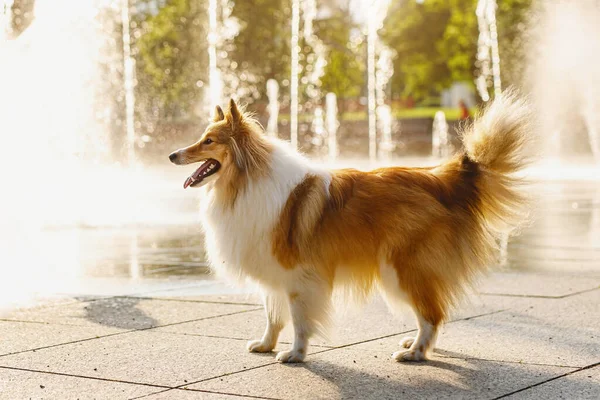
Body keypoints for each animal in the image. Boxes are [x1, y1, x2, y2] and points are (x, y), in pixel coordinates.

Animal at [171, 95, 532, 364]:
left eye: (208, 141)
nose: (173, 154)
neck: (247, 180)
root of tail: (442, 178)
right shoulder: (273, 269)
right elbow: (273, 315)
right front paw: (265, 345)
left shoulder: (300, 275)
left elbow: (299, 319)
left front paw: (295, 354)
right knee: (432, 310)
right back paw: (415, 345)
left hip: (401, 267)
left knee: (432, 313)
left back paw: (416, 352)